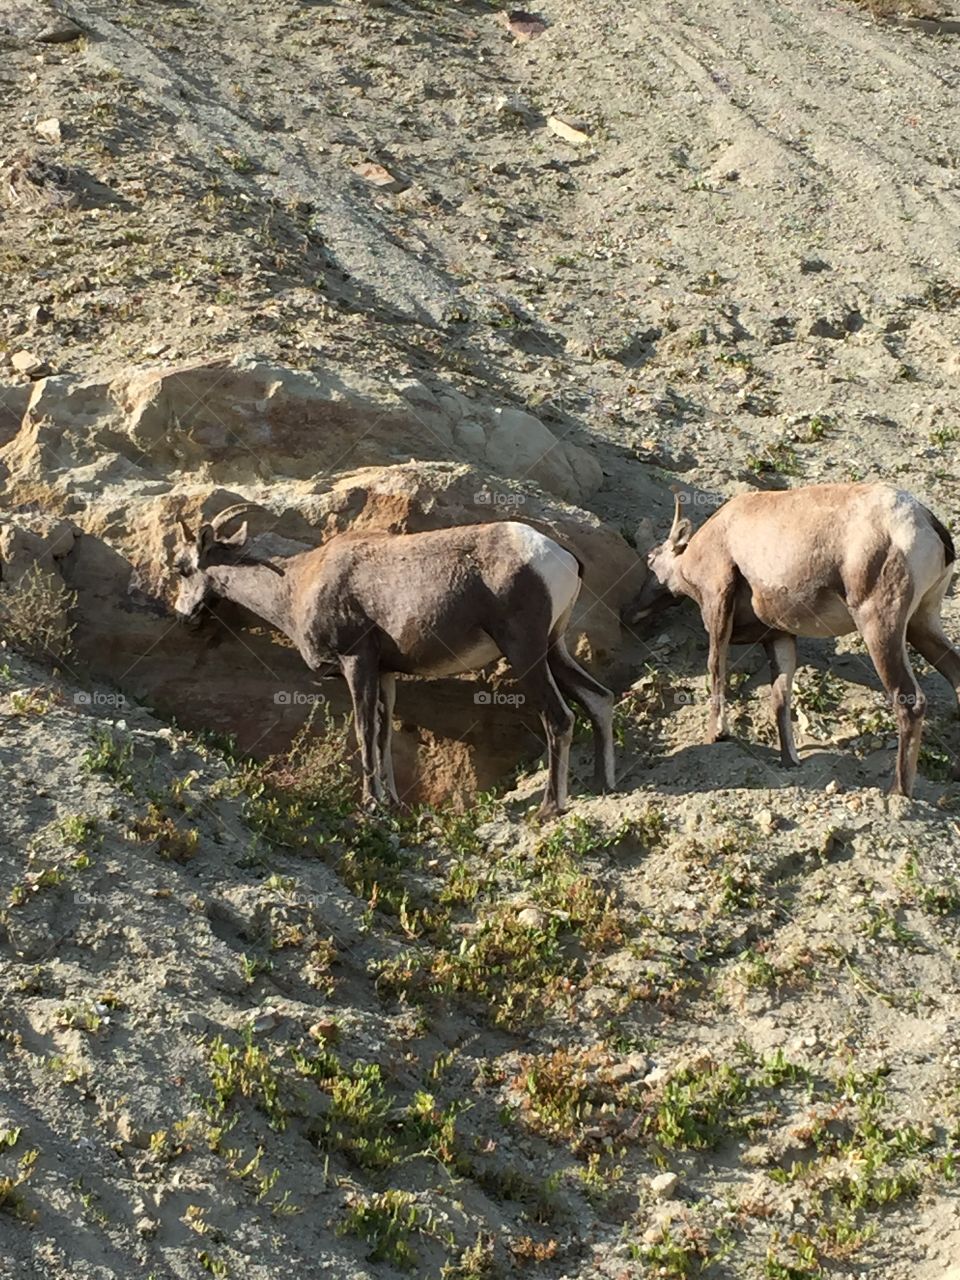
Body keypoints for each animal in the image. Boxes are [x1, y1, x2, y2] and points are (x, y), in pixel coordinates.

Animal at [171, 504, 616, 814]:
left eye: (180, 568)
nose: (184, 615)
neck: (297, 587)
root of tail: (561, 557)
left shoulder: (357, 663)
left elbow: (364, 730)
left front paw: (371, 804)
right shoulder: (386, 674)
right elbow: (384, 735)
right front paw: (392, 803)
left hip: (525, 653)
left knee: (559, 717)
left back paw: (549, 808)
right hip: (553, 649)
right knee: (600, 698)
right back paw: (603, 786)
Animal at [627, 481, 960, 793]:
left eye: (650, 558)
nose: (631, 613)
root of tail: (925, 520)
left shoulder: (718, 602)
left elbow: (716, 666)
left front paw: (717, 734)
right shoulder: (780, 638)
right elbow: (780, 698)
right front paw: (790, 760)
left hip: (880, 625)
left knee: (909, 700)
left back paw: (897, 794)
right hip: (921, 624)